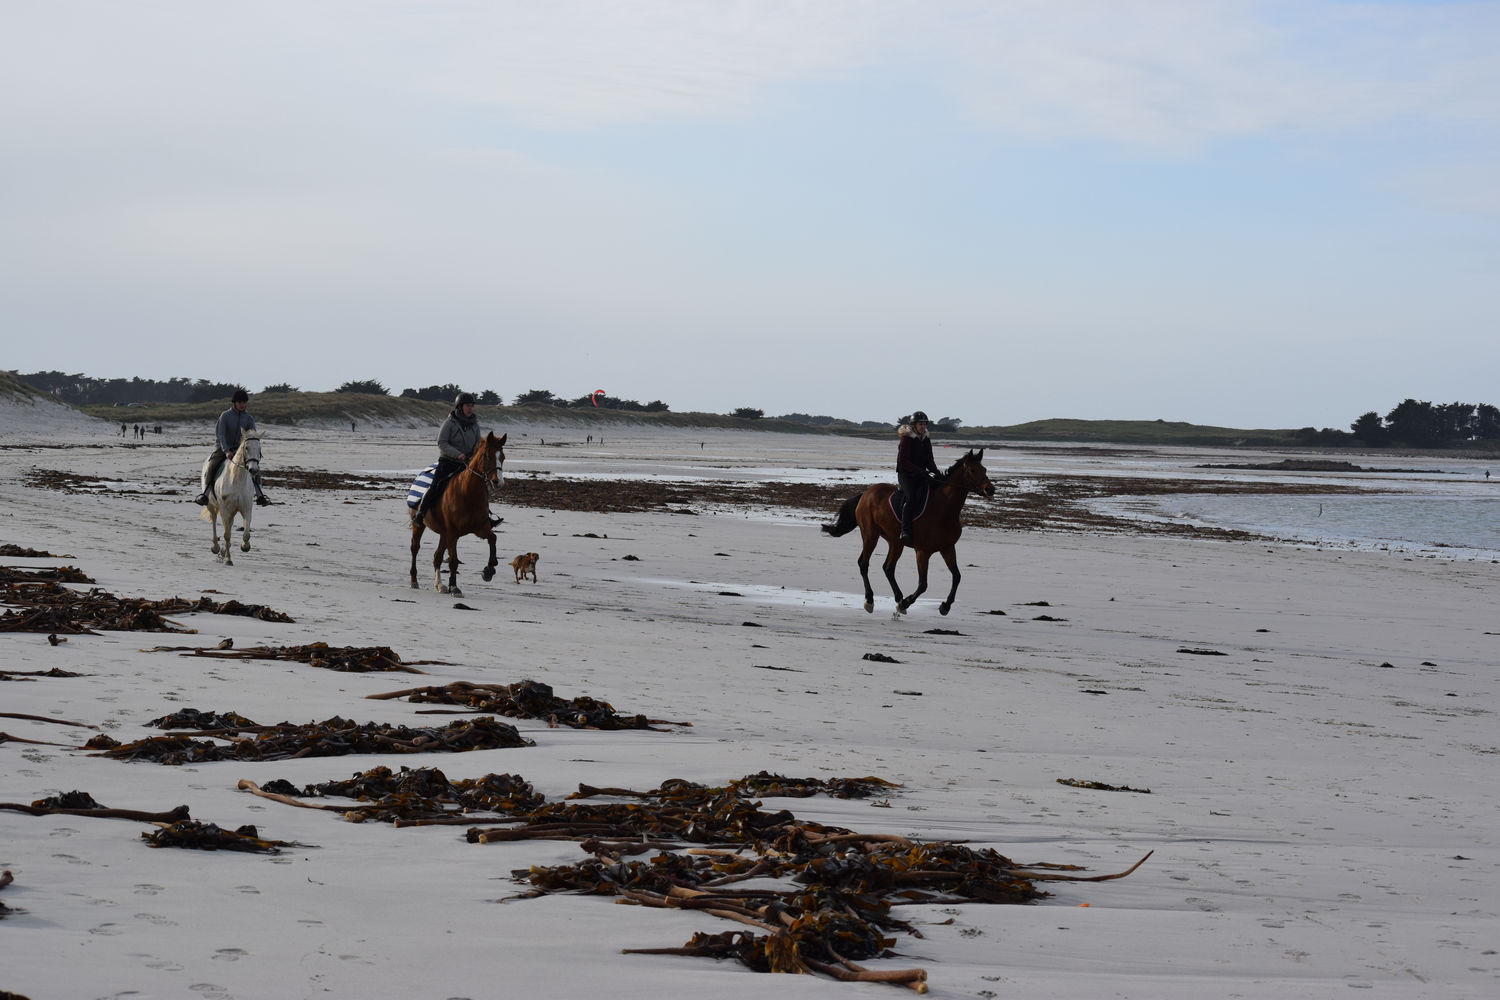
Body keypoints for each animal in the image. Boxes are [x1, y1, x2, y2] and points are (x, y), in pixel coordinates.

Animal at [199, 431, 261, 566]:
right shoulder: (224, 509)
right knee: (214, 522)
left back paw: (222, 551)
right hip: (211, 505)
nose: (253, 470)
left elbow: (246, 533)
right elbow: (227, 534)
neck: (237, 478)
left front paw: (245, 546)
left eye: (259, 448)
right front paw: (228, 559)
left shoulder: (246, 508)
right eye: (246, 447)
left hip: (232, 511)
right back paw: (216, 547)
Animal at [408, 431, 507, 593]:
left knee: (437, 556)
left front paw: (489, 570)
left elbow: (493, 538)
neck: (468, 493)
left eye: (502, 457)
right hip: (420, 526)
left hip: (443, 534)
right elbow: (453, 560)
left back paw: (439, 585)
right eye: (487, 455)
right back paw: (414, 580)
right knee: (415, 548)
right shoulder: (452, 533)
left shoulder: (479, 528)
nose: (498, 482)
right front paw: (454, 586)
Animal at [822, 452, 996, 617]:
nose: (990, 489)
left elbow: (957, 576)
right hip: (870, 535)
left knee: (888, 568)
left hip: (895, 542)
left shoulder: (947, 548)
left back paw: (898, 597)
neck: (944, 509)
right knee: (864, 564)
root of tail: (865, 494)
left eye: (984, 469)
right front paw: (906, 603)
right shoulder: (922, 552)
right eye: (972, 470)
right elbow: (923, 584)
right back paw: (870, 601)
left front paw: (945, 606)